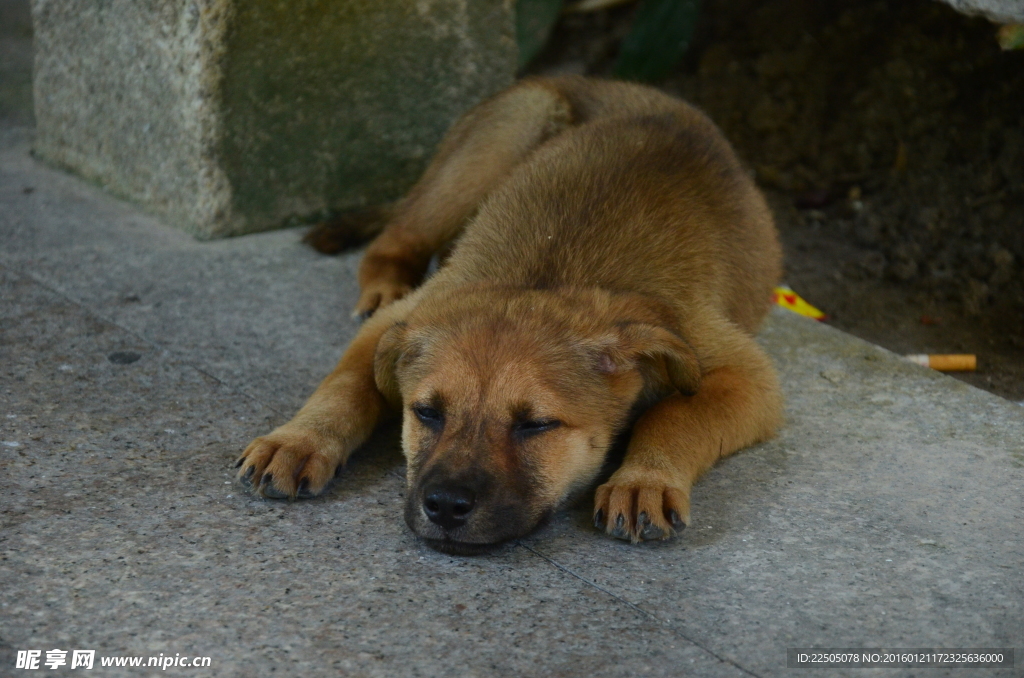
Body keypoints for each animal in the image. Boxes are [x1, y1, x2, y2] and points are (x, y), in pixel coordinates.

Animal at [237, 76, 782, 557]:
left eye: (536, 425)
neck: (548, 274)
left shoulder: (745, 374)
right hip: (506, 133)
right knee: (394, 239)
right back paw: (384, 283)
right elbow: (345, 384)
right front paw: (299, 439)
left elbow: (675, 414)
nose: (445, 507)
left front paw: (643, 479)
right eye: (426, 412)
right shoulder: (400, 320)